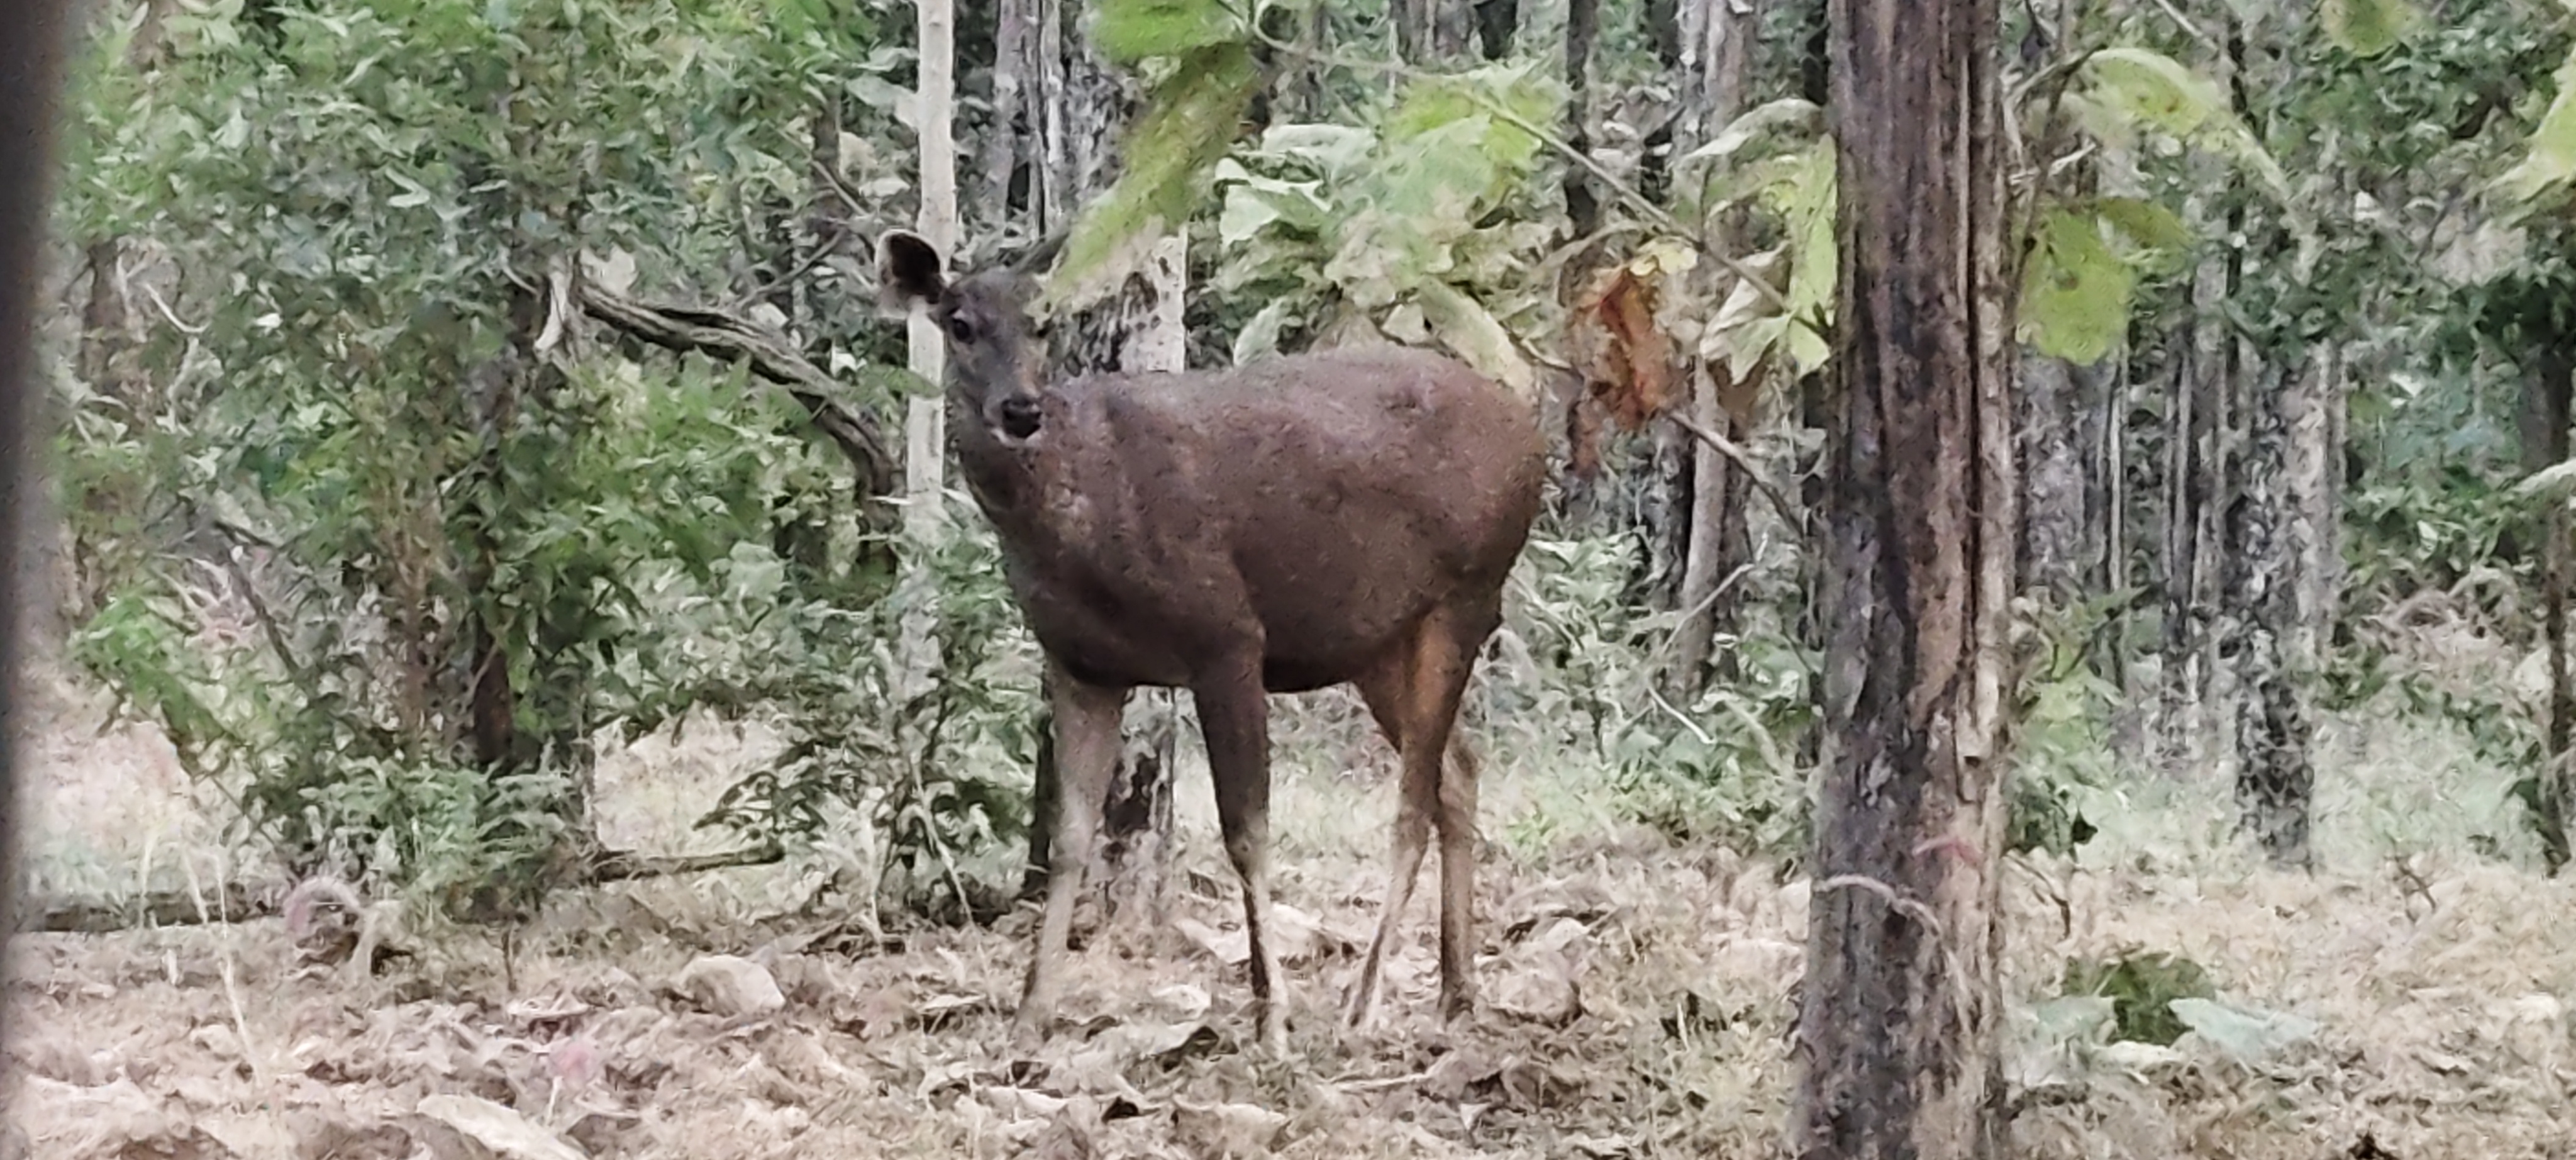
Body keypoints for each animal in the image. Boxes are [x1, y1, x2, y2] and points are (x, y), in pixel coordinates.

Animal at [875, 229, 1535, 1051]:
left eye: (1043, 324)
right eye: (960, 323)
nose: (1022, 408)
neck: (1083, 517)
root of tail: (1537, 433)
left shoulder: (1226, 636)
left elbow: (1245, 830)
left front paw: (1272, 1015)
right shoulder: (1078, 662)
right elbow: (1070, 837)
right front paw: (1030, 1015)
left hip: (1469, 589)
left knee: (1414, 801)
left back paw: (1363, 1003)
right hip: (1378, 640)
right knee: (1460, 771)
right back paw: (1455, 989)